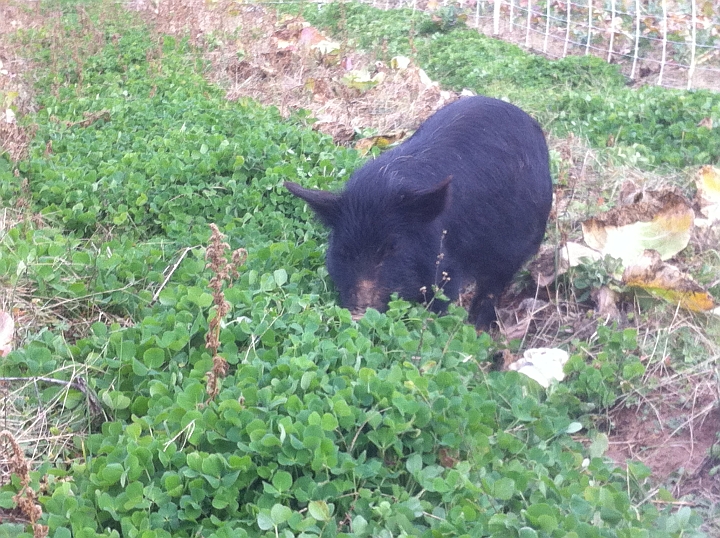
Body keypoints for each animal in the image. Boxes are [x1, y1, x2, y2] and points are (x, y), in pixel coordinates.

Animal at [285, 95, 552, 329]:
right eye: (344, 250)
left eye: (393, 247)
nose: (359, 314)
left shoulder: (446, 269)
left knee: (494, 284)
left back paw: (479, 326)